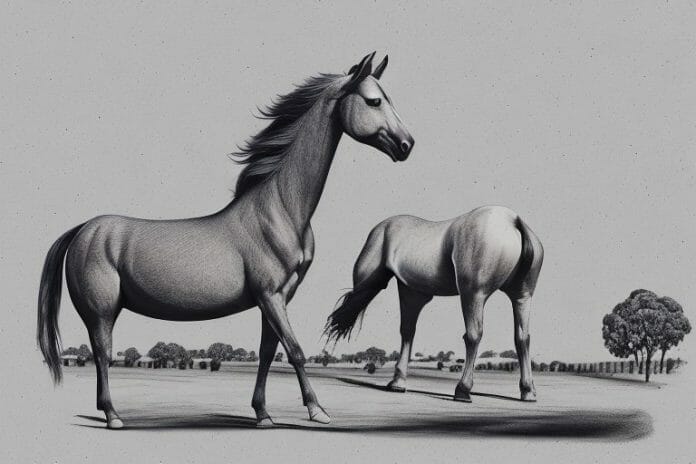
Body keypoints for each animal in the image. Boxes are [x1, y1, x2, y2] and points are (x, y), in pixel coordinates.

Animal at [37, 52, 414, 429]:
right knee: (102, 353)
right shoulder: (270, 295)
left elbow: (267, 353)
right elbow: (295, 352)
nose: (407, 145)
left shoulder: (278, 297)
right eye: (374, 100)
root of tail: (84, 229)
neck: (278, 210)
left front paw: (263, 414)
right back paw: (113, 416)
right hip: (101, 312)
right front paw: (317, 411)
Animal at [324, 206, 543, 402]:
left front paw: (398, 381)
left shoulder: (412, 291)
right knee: (522, 338)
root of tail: (513, 221)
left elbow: (408, 332)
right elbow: (408, 331)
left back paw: (462, 390)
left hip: (474, 295)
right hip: (522, 297)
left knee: (473, 336)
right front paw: (398, 381)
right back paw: (527, 392)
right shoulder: (412, 293)